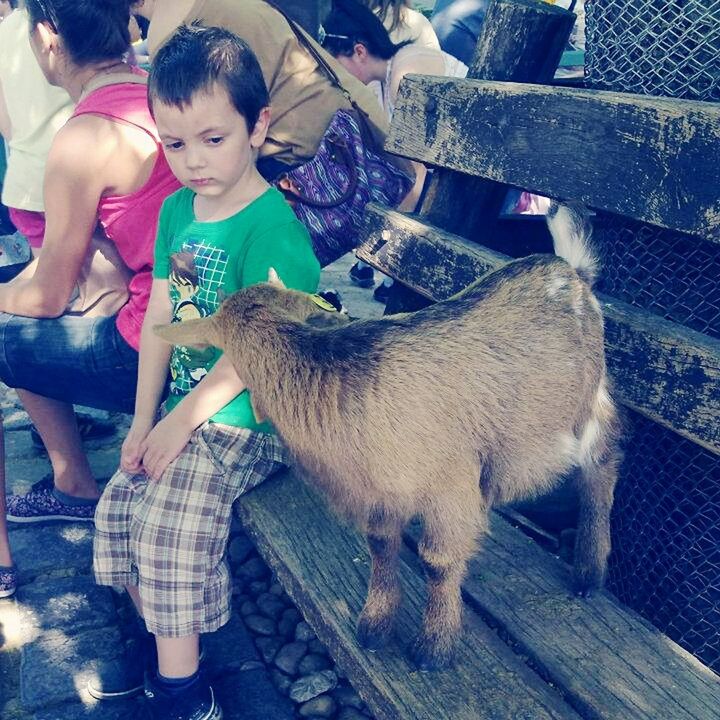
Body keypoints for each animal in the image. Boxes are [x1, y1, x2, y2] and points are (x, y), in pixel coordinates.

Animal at [155, 204, 620, 668]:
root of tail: (572, 270)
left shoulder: (448, 486)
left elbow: (437, 560)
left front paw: (433, 648)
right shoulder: (379, 493)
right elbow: (380, 545)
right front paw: (373, 629)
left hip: (587, 401)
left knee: (602, 464)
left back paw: (588, 573)